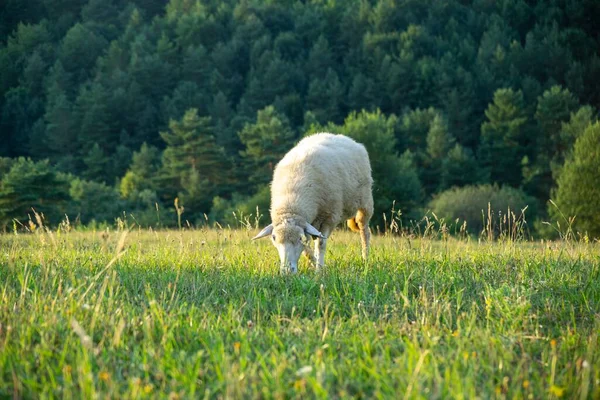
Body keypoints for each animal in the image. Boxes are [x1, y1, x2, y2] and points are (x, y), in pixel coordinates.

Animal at [252, 133, 372, 274]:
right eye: (274, 238)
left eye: (299, 238)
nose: (287, 271)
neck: (291, 206)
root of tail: (345, 138)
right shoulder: (307, 224)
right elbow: (307, 250)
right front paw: (315, 264)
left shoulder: (329, 217)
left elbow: (321, 244)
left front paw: (319, 270)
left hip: (365, 202)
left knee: (364, 231)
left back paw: (365, 258)